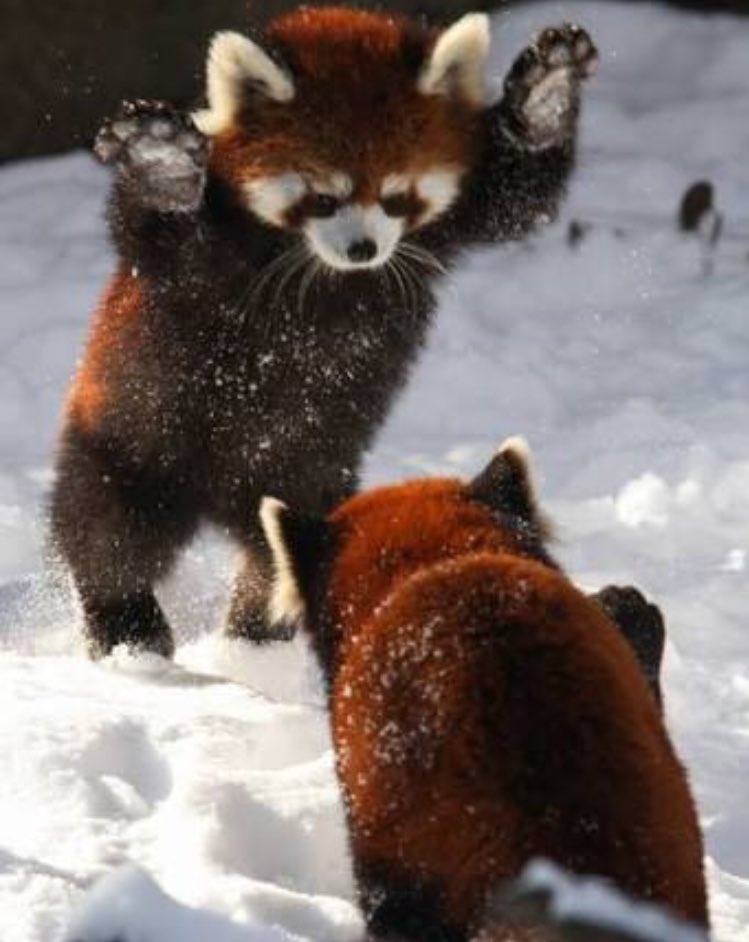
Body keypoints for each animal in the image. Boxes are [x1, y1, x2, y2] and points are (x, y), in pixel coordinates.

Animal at [48, 7, 596, 660]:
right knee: (107, 534)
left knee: (277, 556)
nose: (363, 249)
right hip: (133, 442)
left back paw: (255, 637)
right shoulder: (193, 261)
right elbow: (155, 228)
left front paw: (544, 94)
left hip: (311, 477)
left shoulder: (458, 214)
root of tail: (219, 499)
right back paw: (130, 632)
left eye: (395, 196)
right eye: (324, 198)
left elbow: (522, 196)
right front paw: (164, 164)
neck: (323, 271)